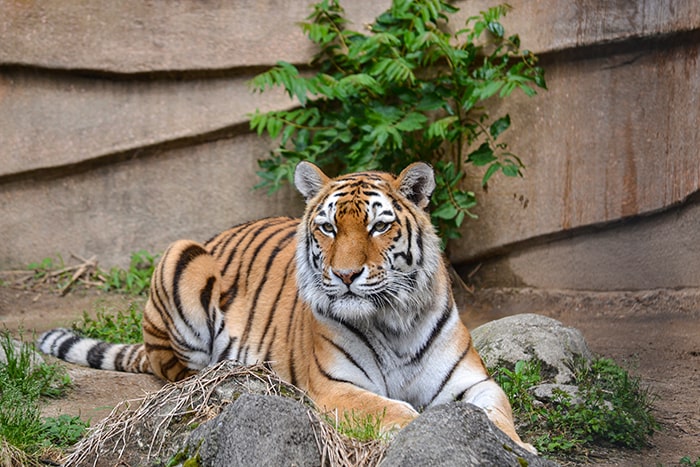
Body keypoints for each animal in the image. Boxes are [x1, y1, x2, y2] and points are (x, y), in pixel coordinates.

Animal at [38, 162, 532, 454]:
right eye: (329, 227)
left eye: (379, 226)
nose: (346, 275)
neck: (392, 320)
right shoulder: (336, 387)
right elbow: (396, 411)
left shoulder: (474, 381)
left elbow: (497, 415)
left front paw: (518, 448)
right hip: (182, 256)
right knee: (178, 374)